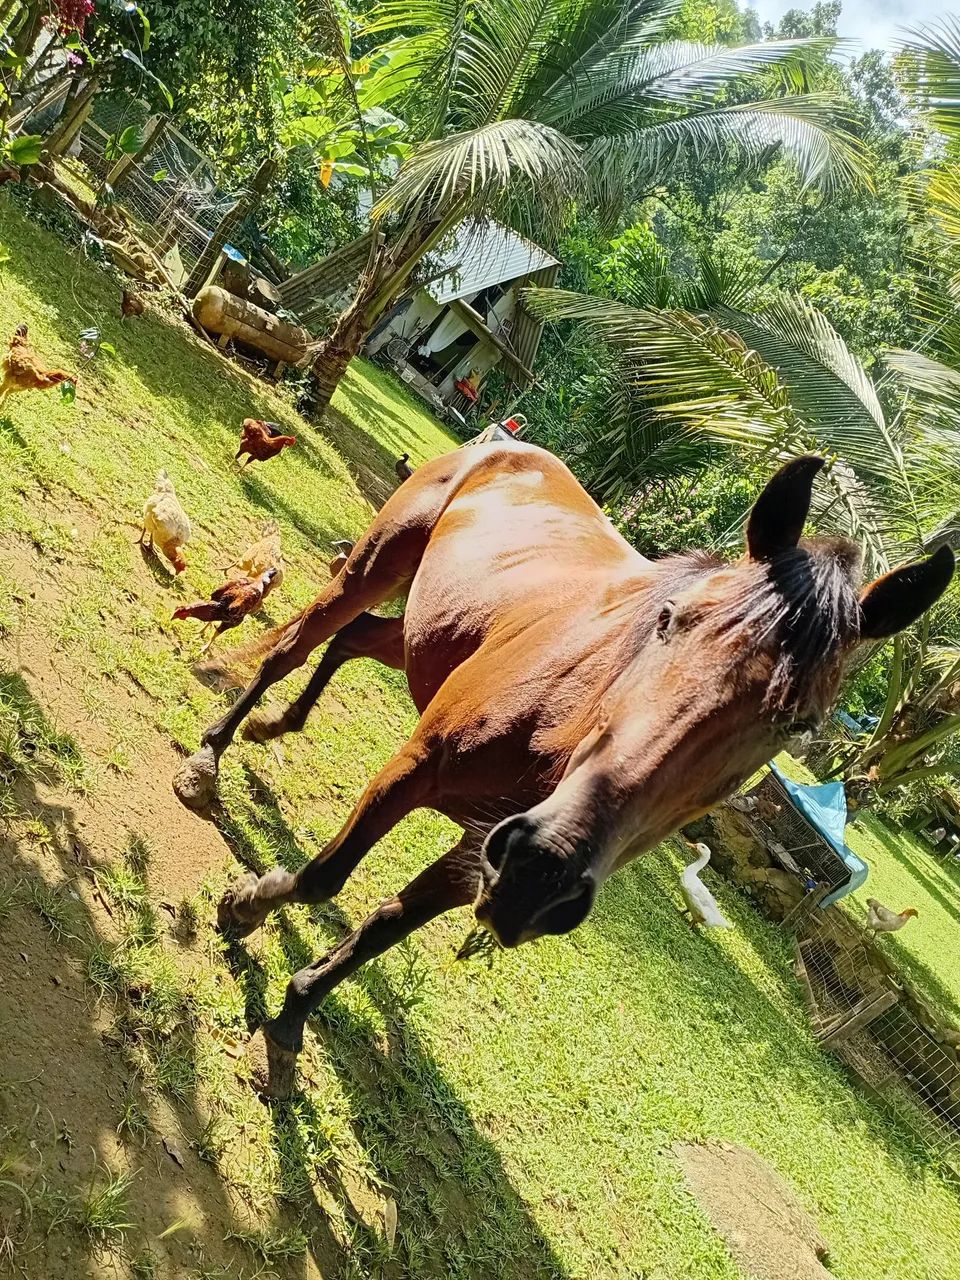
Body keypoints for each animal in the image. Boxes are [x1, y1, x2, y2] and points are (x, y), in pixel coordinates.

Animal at [173, 447, 953, 1097]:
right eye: (672, 619)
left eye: (800, 723)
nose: (546, 871)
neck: (567, 724)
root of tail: (508, 445)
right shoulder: (420, 770)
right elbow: (326, 878)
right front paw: (247, 905)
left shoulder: (483, 851)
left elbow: (384, 926)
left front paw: (294, 1012)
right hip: (374, 567)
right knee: (298, 645)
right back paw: (211, 755)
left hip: (431, 634)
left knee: (356, 640)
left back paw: (280, 724)